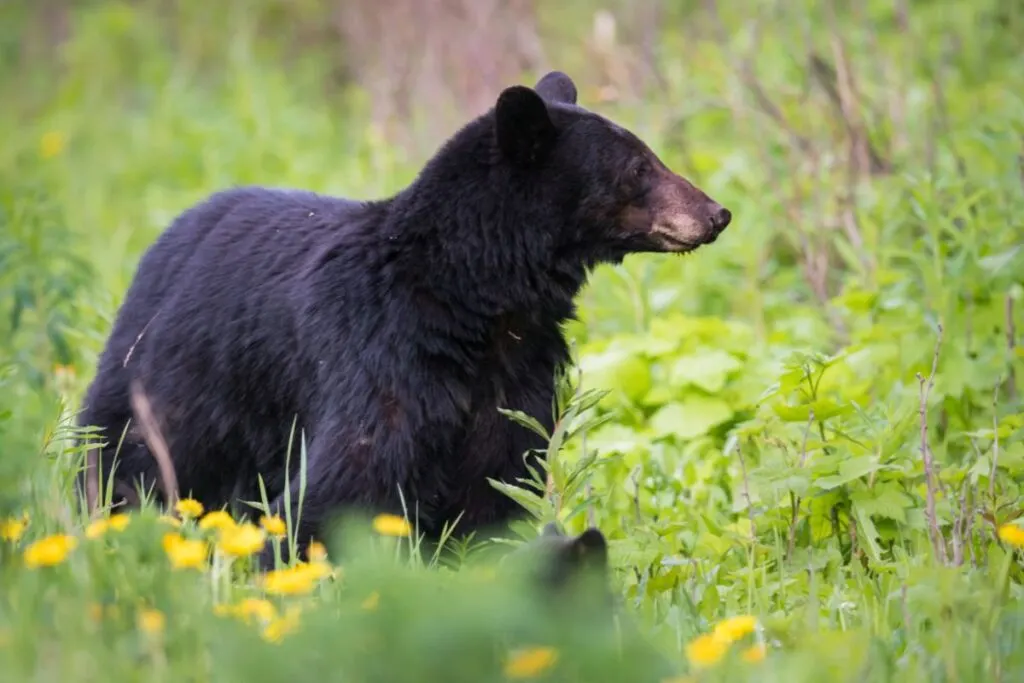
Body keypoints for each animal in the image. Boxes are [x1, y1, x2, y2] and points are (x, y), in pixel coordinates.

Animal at [75, 70, 733, 565]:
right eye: (638, 167)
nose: (716, 213)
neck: (476, 303)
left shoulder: (513, 384)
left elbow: (491, 490)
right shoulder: (377, 356)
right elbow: (343, 483)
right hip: (175, 378)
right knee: (132, 461)